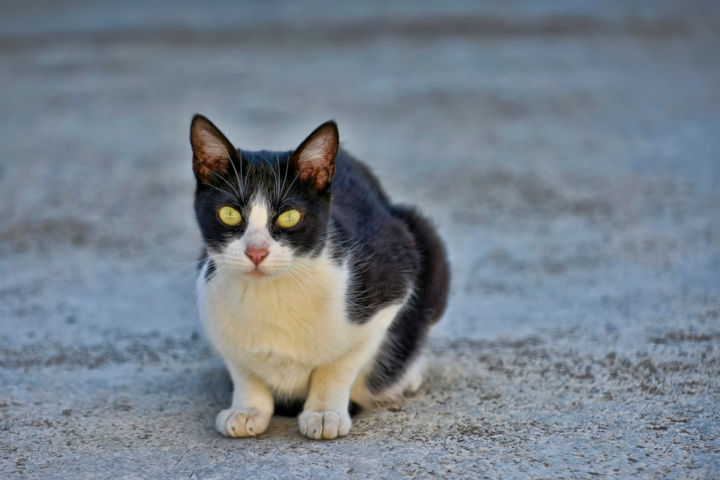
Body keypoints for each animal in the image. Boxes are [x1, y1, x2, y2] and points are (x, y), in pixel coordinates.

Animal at [191, 115, 450, 438]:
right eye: (229, 214)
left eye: (289, 216)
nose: (256, 252)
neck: (274, 293)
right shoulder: (210, 303)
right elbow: (242, 367)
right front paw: (248, 409)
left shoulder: (393, 282)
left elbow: (340, 364)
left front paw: (324, 413)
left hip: (423, 238)